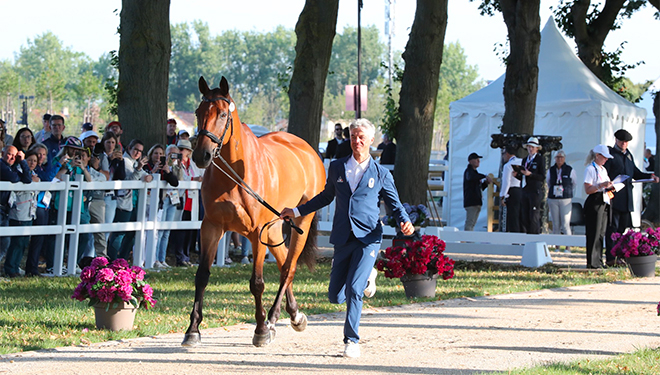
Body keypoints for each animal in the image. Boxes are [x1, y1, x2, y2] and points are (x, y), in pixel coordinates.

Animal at [182, 77, 326, 350]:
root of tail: (309, 150)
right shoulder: (211, 227)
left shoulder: (256, 232)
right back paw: (293, 314)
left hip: (300, 221)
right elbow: (202, 276)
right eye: (198, 112)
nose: (201, 155)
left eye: (223, 114)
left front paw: (260, 330)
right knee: (283, 263)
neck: (235, 175)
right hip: (275, 227)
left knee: (288, 268)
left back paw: (272, 319)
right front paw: (192, 330)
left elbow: (257, 283)